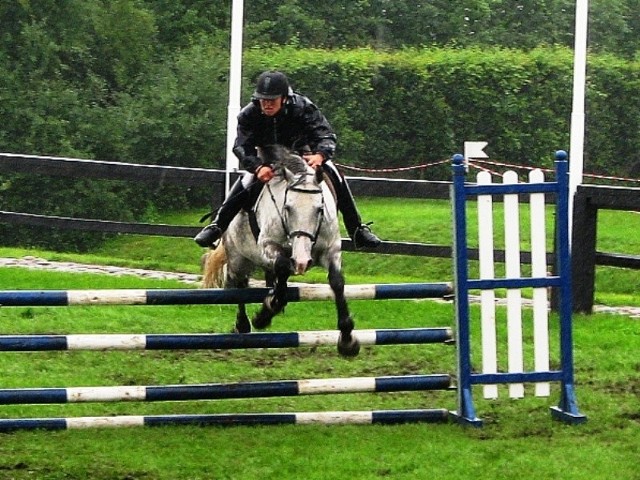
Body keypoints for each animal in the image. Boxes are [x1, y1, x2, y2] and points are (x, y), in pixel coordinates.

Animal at [201, 145, 358, 356]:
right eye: (287, 207)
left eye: (319, 209)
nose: (302, 261)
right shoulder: (268, 245)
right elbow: (282, 266)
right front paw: (265, 314)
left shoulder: (331, 250)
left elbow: (337, 282)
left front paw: (347, 338)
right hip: (237, 257)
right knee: (241, 285)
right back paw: (243, 324)